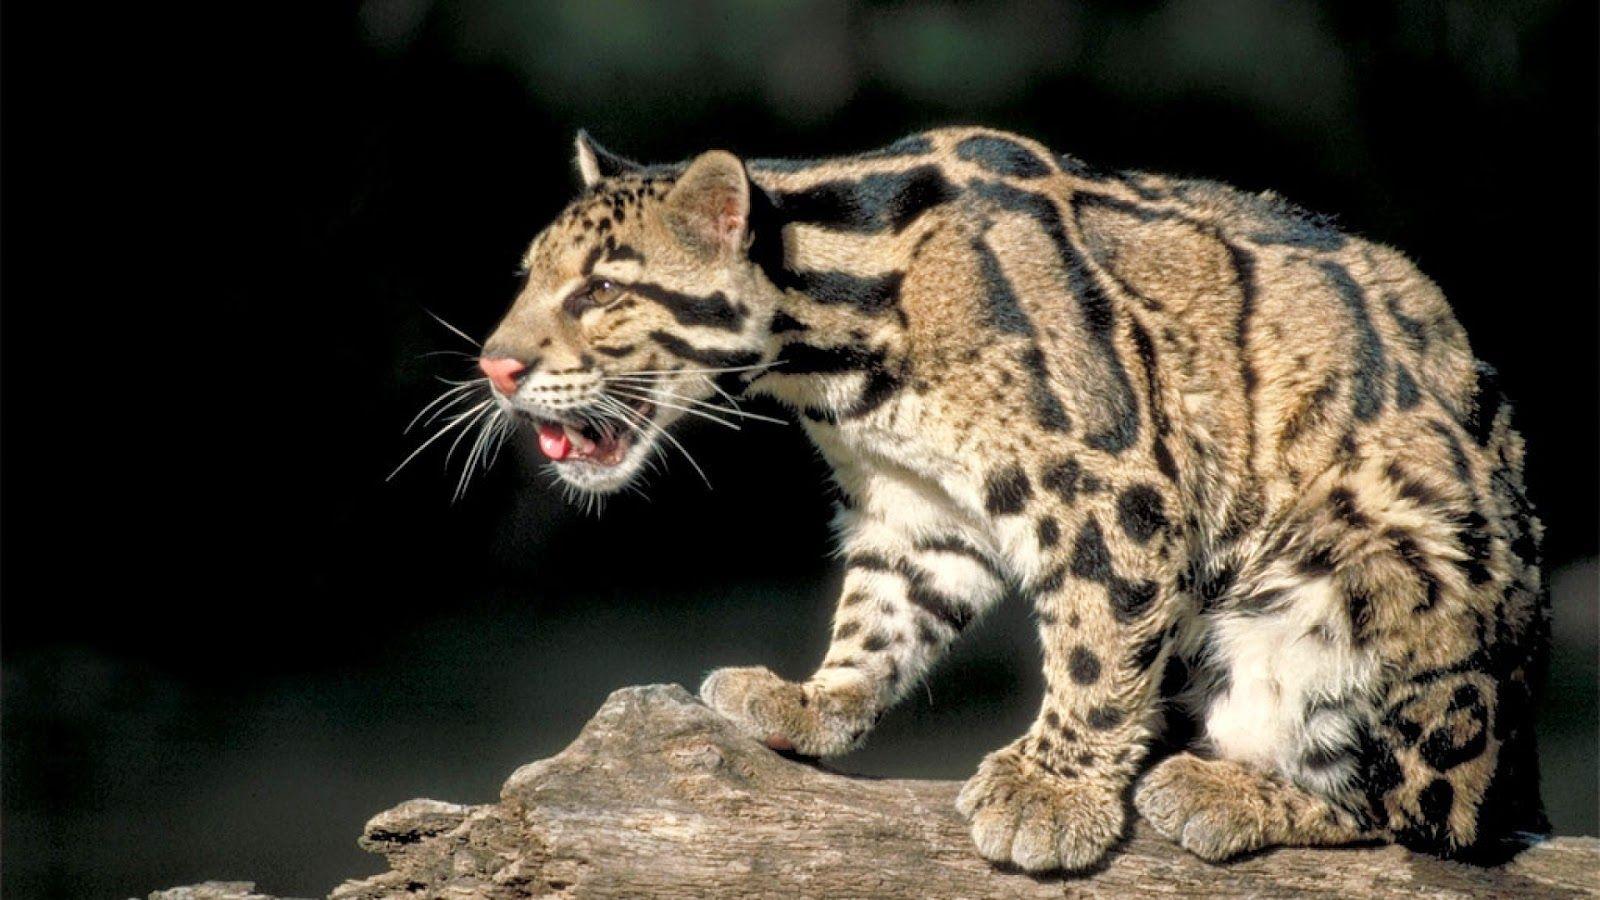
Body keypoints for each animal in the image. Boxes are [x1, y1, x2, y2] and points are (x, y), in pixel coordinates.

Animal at [464, 126, 1548, 871]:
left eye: (602, 291)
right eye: (527, 280)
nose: (494, 366)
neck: (832, 357)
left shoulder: (1121, 485)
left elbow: (1097, 650)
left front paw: (1051, 793)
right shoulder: (917, 510)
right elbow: (881, 612)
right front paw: (817, 700)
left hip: (1374, 581)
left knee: (1416, 811)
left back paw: (1231, 789)